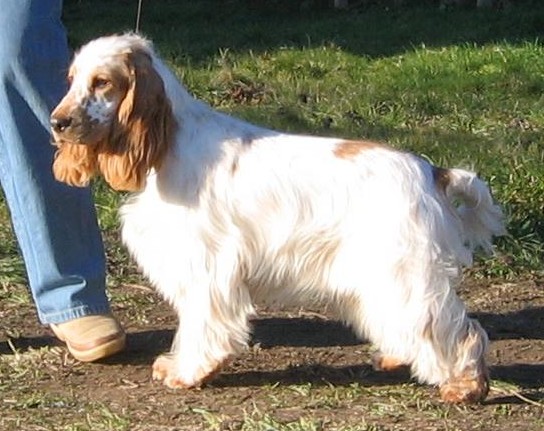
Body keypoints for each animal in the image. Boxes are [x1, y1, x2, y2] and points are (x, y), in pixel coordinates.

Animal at [50, 33, 505, 403]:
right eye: (71, 79)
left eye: (102, 82)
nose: (57, 122)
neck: (167, 144)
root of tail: (432, 171)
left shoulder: (205, 267)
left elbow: (201, 326)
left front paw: (186, 372)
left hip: (404, 274)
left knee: (459, 332)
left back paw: (465, 387)